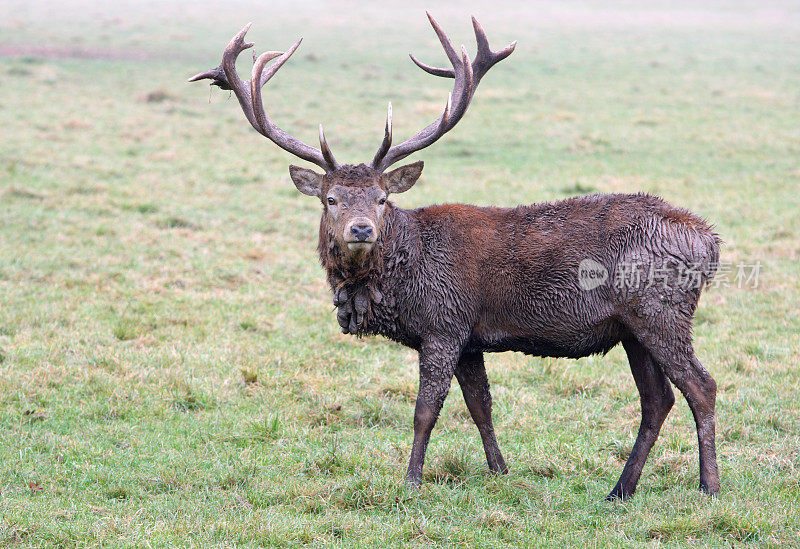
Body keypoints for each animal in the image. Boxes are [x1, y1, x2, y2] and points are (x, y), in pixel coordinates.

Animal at [191, 15, 720, 498]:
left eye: (382, 198)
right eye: (331, 199)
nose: (361, 229)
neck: (406, 275)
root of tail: (709, 241)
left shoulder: (444, 323)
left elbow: (426, 411)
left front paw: (410, 481)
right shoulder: (470, 337)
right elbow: (480, 406)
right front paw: (500, 471)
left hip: (661, 311)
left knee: (701, 386)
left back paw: (708, 486)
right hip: (632, 328)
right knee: (658, 400)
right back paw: (620, 489)